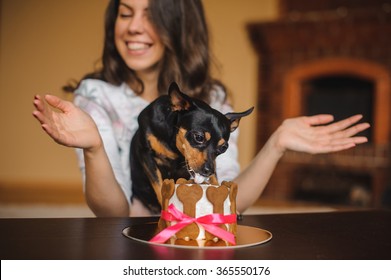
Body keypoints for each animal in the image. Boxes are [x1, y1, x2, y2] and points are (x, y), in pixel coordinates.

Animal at [131, 82, 254, 213]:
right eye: (199, 137)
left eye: (223, 148)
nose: (208, 170)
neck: (174, 146)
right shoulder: (145, 154)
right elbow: (159, 185)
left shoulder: (212, 165)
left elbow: (215, 180)